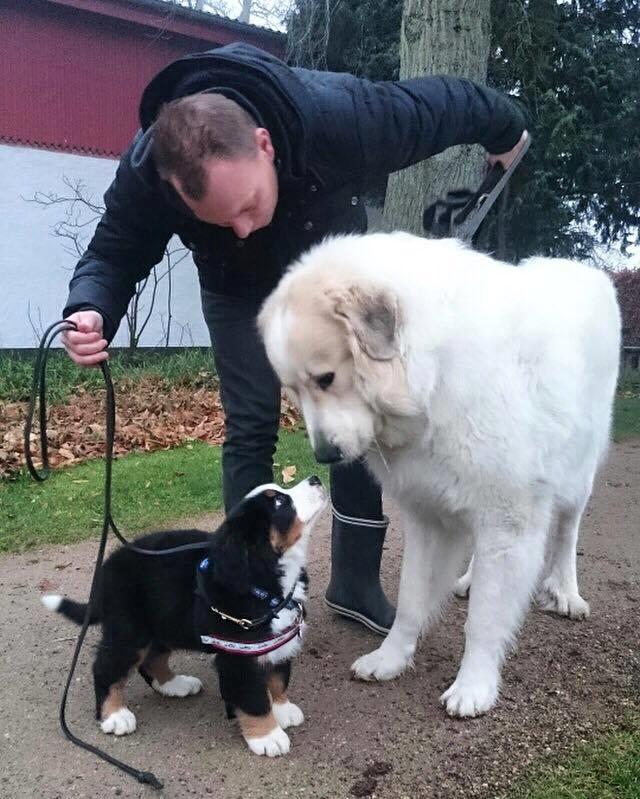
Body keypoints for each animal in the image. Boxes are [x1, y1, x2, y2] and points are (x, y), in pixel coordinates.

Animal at [42, 478, 328, 760]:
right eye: (279, 501)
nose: (316, 479)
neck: (266, 575)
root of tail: (107, 567)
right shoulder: (238, 657)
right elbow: (253, 698)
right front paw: (267, 736)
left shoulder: (277, 639)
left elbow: (278, 677)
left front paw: (282, 708)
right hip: (130, 630)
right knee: (106, 667)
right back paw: (114, 715)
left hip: (164, 623)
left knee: (152, 659)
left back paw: (174, 684)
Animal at [256, 231, 620, 720]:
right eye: (293, 390)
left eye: (327, 378)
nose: (326, 455)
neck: (435, 375)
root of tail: (582, 270)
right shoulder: (429, 514)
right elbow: (411, 602)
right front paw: (391, 658)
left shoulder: (508, 518)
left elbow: (485, 619)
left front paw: (474, 686)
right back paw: (469, 580)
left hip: (578, 474)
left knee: (566, 533)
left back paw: (566, 592)